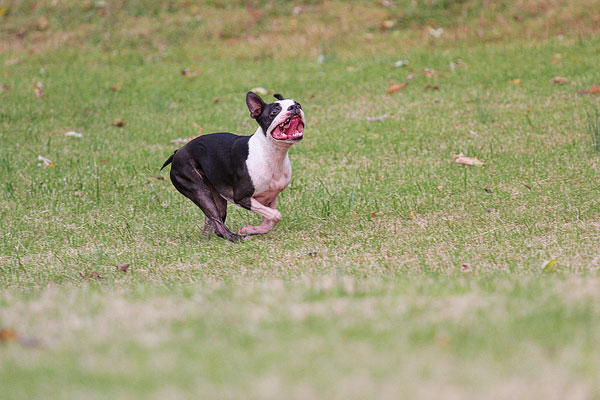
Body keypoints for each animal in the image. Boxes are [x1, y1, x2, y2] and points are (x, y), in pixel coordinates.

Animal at [161, 91, 304, 241]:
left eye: (298, 104)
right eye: (275, 111)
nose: (295, 107)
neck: (272, 153)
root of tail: (177, 151)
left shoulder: (272, 196)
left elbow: (269, 221)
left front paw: (253, 229)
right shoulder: (241, 197)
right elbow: (276, 215)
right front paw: (248, 230)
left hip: (216, 197)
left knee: (213, 221)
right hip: (199, 189)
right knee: (218, 224)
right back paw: (237, 238)